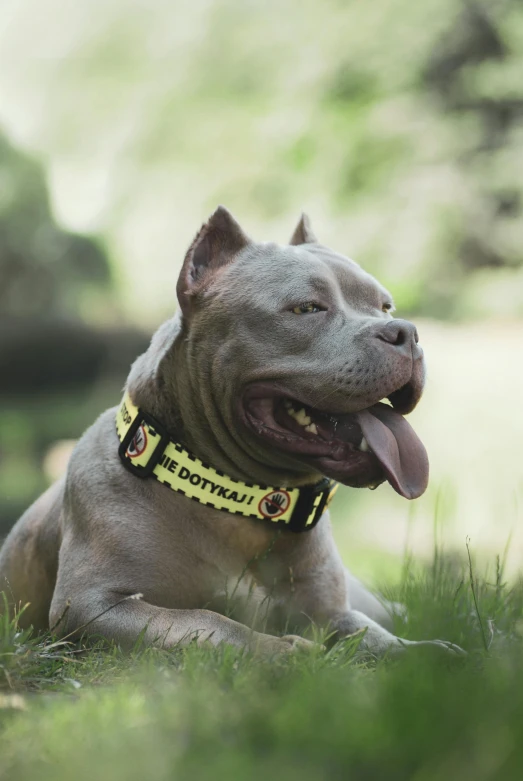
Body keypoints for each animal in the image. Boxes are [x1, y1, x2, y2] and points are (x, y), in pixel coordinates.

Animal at [0, 206, 462, 652]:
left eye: (385, 307)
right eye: (307, 308)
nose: (407, 332)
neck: (242, 501)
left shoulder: (333, 614)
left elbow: (370, 634)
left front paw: (422, 650)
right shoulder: (91, 606)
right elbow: (204, 622)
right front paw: (281, 652)